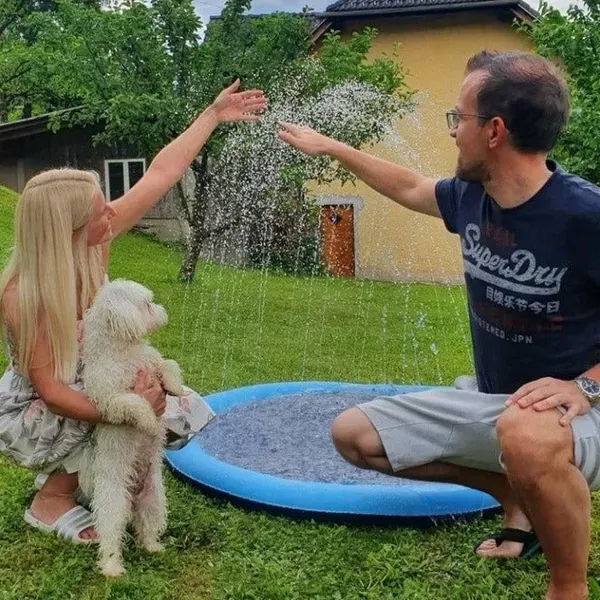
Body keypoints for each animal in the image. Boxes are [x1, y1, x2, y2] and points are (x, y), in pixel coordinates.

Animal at [81, 278, 185, 580]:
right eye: (148, 304)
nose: (162, 309)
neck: (125, 352)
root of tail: (133, 493)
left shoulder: (153, 363)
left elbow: (169, 365)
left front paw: (176, 388)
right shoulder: (109, 400)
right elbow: (134, 402)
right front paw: (149, 420)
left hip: (154, 498)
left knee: (147, 526)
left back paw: (152, 546)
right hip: (112, 503)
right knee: (110, 536)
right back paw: (112, 568)